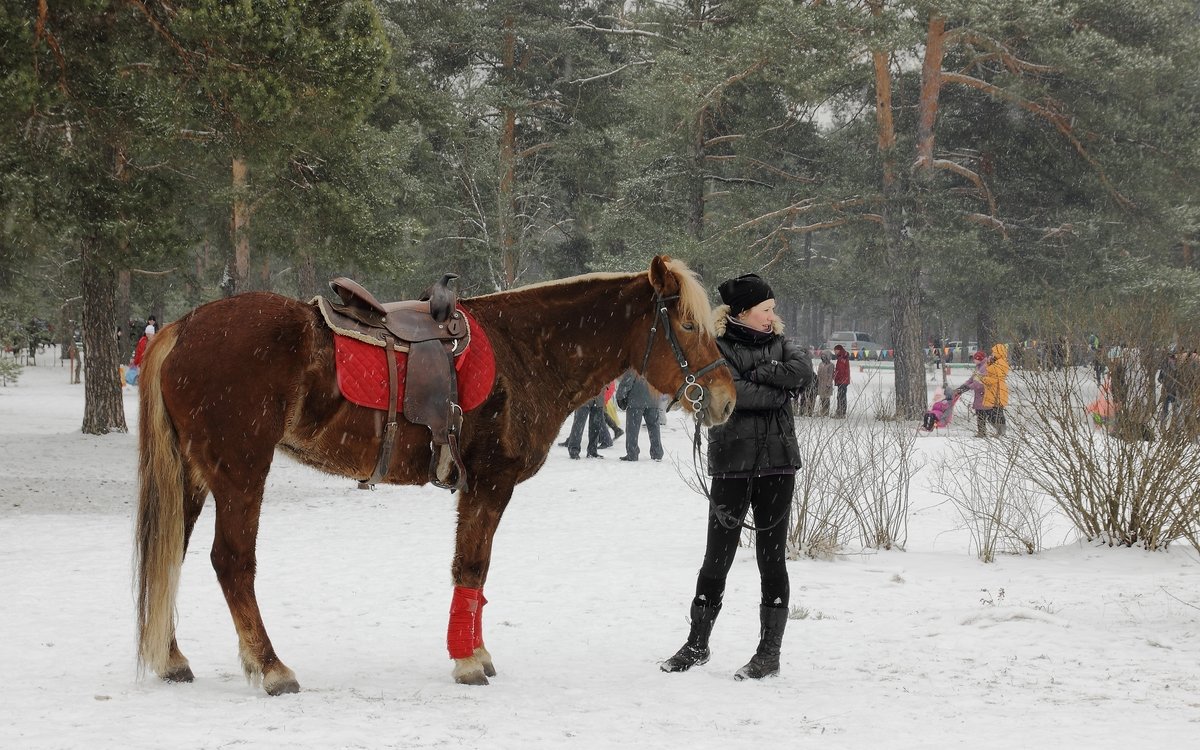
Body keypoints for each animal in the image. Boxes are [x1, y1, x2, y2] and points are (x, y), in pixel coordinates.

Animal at [131, 254, 729, 691]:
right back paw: (271, 666)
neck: (524, 348)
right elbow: (471, 566)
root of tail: (184, 327)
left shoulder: (481, 487)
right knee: (232, 563)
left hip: (194, 475)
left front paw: (476, 651)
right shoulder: (490, 482)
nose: (725, 399)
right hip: (241, 471)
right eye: (688, 323)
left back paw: (172, 658)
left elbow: (475, 571)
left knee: (173, 551)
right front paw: (468, 662)